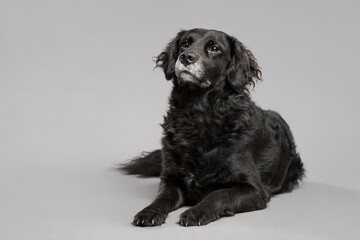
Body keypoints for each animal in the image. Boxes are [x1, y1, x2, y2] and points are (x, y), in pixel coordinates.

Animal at [121, 28, 304, 227]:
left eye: (214, 48)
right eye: (185, 43)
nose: (186, 57)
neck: (198, 113)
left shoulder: (254, 189)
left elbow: (219, 194)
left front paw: (196, 212)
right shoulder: (171, 178)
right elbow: (161, 198)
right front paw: (149, 212)